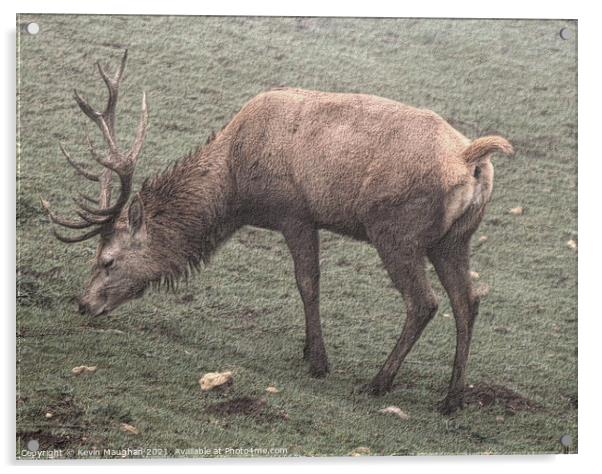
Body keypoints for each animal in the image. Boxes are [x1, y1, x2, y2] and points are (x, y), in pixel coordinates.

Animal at [41, 52, 510, 414]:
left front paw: (317, 361)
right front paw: (307, 350)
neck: (235, 190)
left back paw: (379, 382)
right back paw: (451, 399)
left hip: (397, 231)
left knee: (424, 302)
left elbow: (308, 283)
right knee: (467, 301)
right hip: (453, 240)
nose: (83, 304)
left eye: (107, 260)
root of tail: (471, 158)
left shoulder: (295, 213)